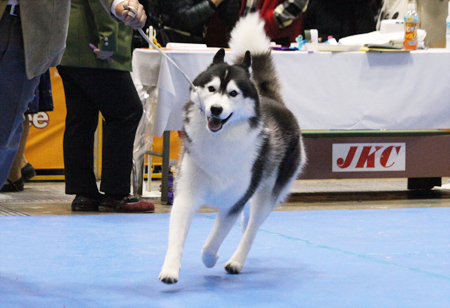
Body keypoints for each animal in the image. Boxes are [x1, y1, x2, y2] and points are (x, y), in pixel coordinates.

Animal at [158, 13, 306, 284]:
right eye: (211, 89)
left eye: (233, 93)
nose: (216, 109)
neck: (220, 142)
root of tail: (273, 100)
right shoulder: (186, 195)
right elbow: (177, 237)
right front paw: (170, 269)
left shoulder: (233, 203)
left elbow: (211, 244)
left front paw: (212, 258)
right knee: (247, 224)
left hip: (267, 193)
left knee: (253, 227)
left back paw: (236, 261)